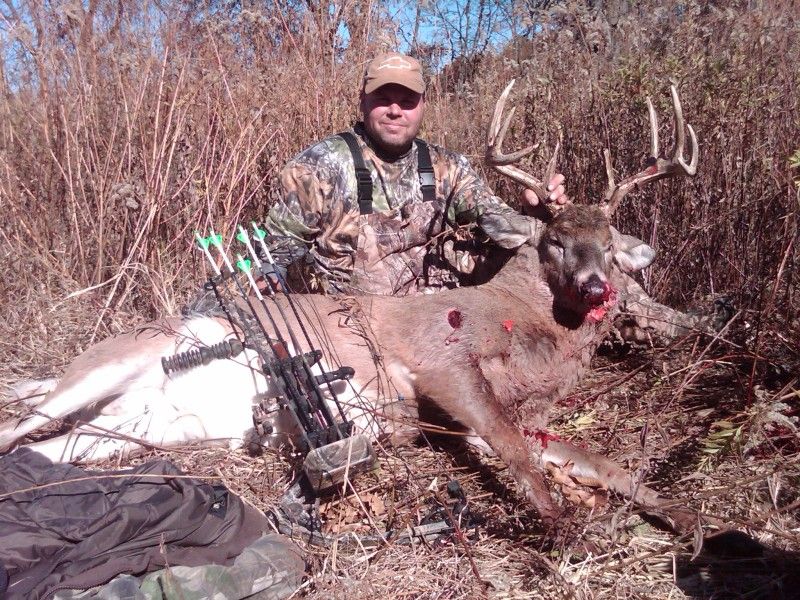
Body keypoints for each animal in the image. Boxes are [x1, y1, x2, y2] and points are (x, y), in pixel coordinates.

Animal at [0, 83, 704, 529]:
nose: (596, 288)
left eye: (610, 245)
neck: (525, 330)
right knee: (22, 422)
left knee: (56, 447)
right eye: (555, 240)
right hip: (112, 362)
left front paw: (686, 517)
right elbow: (514, 449)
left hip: (142, 426)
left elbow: (596, 460)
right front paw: (561, 527)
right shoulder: (439, 361)